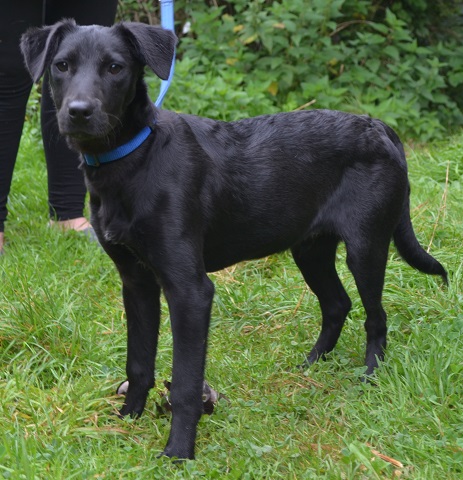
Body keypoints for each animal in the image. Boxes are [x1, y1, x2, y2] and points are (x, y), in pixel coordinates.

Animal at [20, 19, 448, 462]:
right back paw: (311, 365)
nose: (79, 112)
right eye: (61, 65)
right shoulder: (136, 282)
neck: (136, 158)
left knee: (375, 318)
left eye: (115, 67)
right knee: (336, 304)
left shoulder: (190, 290)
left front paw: (178, 452)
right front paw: (127, 420)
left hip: (366, 247)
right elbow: (138, 362)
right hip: (309, 248)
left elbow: (186, 382)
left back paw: (368, 377)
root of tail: (379, 126)